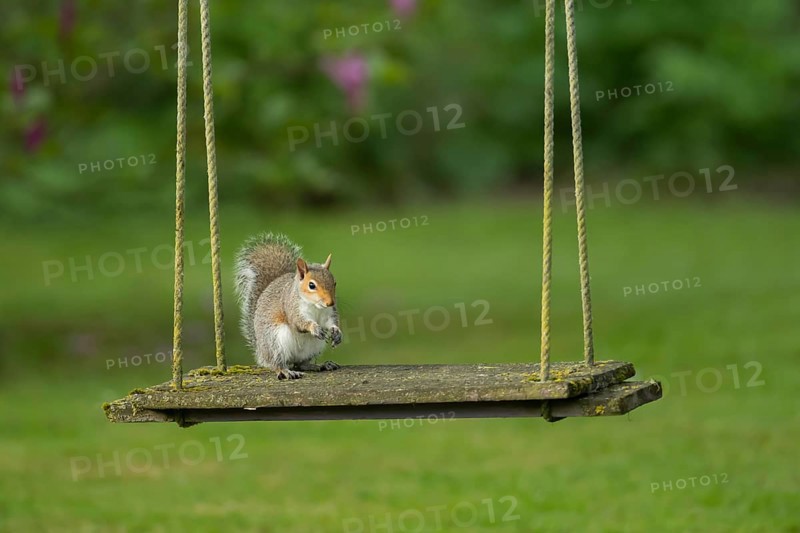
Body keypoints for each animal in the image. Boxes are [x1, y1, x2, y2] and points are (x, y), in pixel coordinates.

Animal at [234, 233, 342, 380]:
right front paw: (314, 328)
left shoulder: (329, 313)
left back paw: (320, 365)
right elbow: (298, 322)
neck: (315, 306)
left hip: (313, 347)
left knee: (301, 364)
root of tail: (261, 352)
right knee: (277, 363)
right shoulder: (292, 307)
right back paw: (286, 371)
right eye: (311, 285)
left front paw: (336, 332)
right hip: (275, 342)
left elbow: (331, 322)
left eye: (334, 282)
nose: (330, 302)